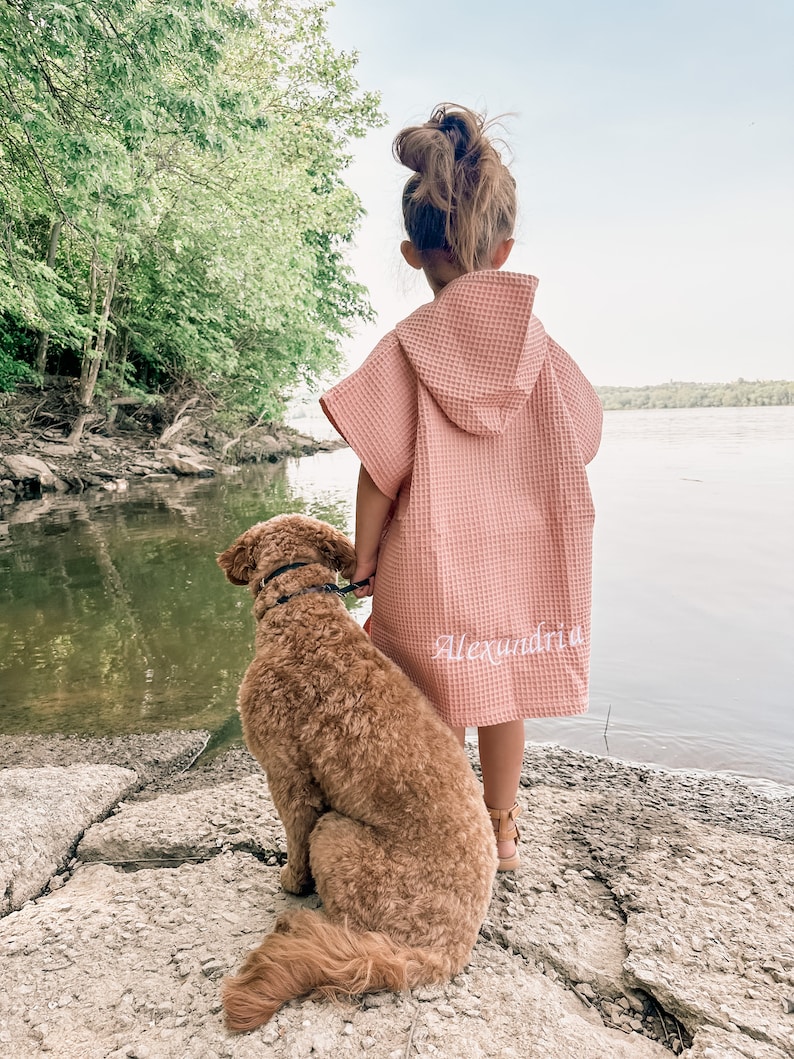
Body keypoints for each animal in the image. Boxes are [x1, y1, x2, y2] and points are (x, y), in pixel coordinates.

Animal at [214, 514, 495, 1033]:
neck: (302, 611)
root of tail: (444, 953)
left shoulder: (287, 774)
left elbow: (295, 838)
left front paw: (292, 882)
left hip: (337, 837)